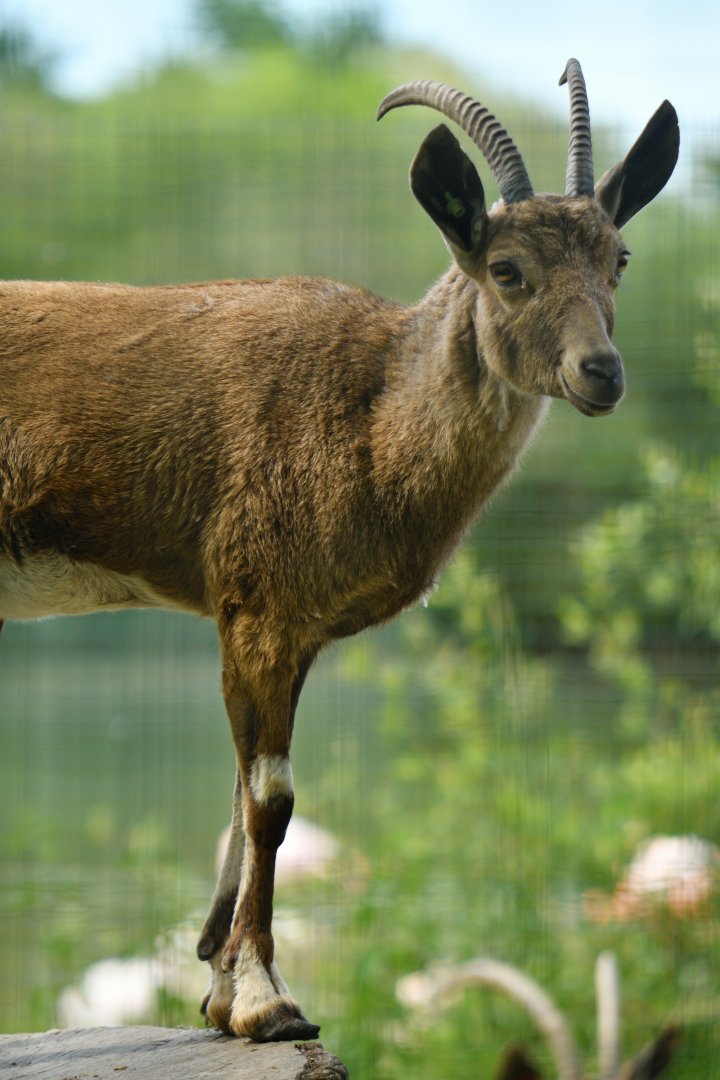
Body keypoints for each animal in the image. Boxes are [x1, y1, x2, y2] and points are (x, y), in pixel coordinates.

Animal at [0, 60, 679, 1042]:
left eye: (617, 259)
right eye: (506, 269)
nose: (601, 373)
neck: (372, 413)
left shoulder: (288, 627)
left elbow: (241, 791)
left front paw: (219, 991)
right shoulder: (258, 604)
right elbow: (270, 801)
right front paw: (267, 1002)